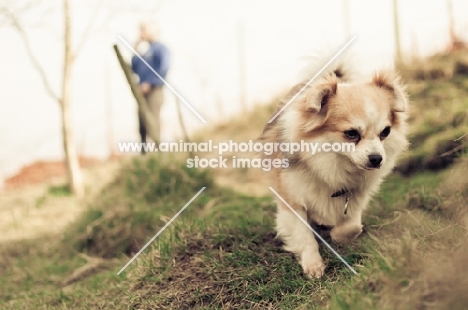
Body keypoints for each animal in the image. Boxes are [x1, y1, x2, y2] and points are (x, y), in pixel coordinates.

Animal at [260, 61, 410, 278]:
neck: (333, 163)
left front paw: (336, 235)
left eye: (386, 132)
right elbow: (303, 234)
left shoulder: (356, 196)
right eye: (351, 133)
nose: (376, 159)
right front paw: (313, 263)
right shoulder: (292, 199)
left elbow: (352, 226)